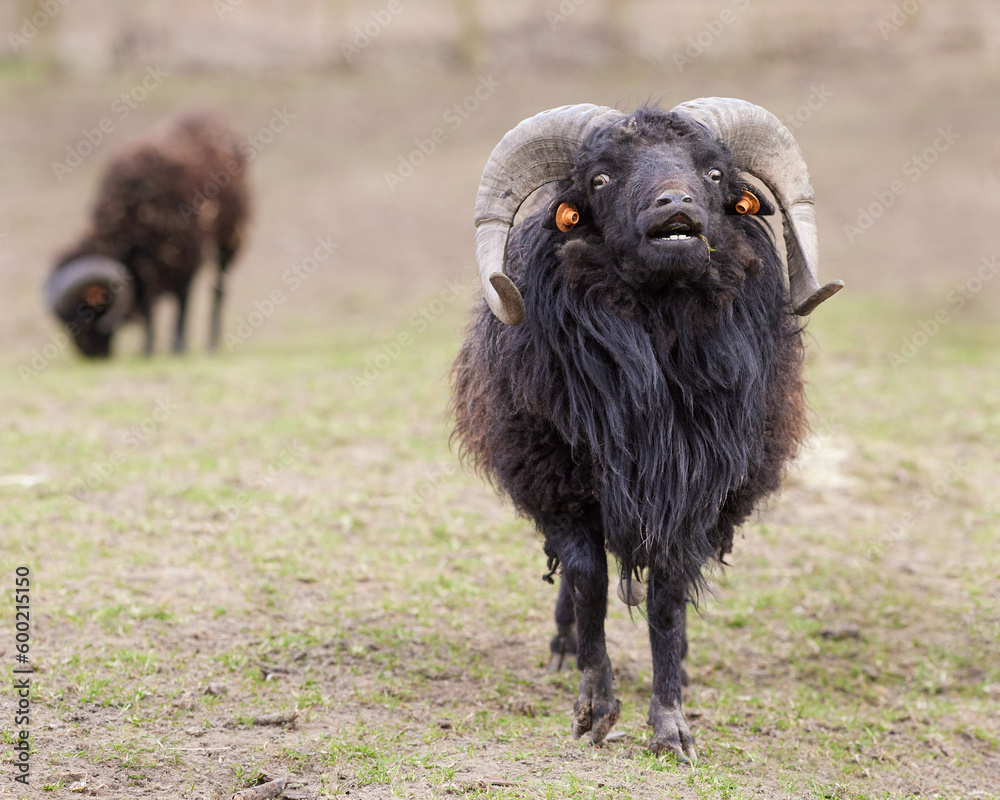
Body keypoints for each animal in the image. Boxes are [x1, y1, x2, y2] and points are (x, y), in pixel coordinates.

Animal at [45, 111, 250, 357]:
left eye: (85, 309)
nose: (91, 355)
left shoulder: (186, 252)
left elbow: (182, 297)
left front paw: (177, 346)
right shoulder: (146, 266)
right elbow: (148, 307)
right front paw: (147, 350)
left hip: (230, 237)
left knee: (218, 288)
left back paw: (212, 343)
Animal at [451, 98, 843, 761]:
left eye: (715, 172)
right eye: (601, 178)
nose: (674, 205)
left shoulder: (694, 498)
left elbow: (666, 599)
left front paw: (671, 725)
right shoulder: (563, 486)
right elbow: (588, 585)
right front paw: (594, 710)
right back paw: (562, 652)